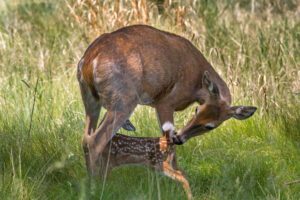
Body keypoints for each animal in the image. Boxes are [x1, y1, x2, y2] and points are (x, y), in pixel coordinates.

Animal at [78, 24, 258, 175]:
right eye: (197, 110)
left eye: (210, 126)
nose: (180, 138)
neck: (196, 83)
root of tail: (90, 60)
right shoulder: (165, 101)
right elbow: (166, 140)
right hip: (124, 98)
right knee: (96, 140)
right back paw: (97, 183)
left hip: (91, 99)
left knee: (86, 138)